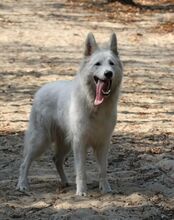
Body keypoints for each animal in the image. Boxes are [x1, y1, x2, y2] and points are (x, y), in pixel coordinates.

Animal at [16, 31, 122, 195]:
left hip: (64, 143)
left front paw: (105, 189)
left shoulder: (103, 143)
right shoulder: (80, 142)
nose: (108, 74)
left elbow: (103, 170)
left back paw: (65, 182)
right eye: (97, 64)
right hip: (40, 140)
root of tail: (41, 89)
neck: (94, 105)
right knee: (24, 162)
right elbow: (81, 170)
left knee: (56, 159)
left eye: (111, 63)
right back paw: (22, 185)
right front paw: (82, 192)